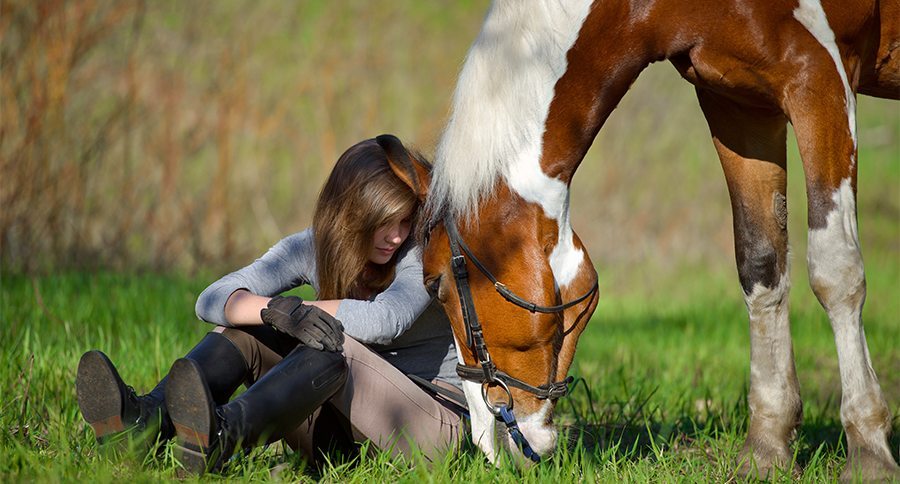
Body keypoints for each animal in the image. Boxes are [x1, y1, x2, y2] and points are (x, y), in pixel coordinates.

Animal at [385, 0, 899, 478]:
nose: (485, 439)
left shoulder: (821, 77)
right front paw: (766, 450)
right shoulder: (737, 102)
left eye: (436, 286)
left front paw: (869, 450)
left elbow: (836, 271)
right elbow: (761, 265)